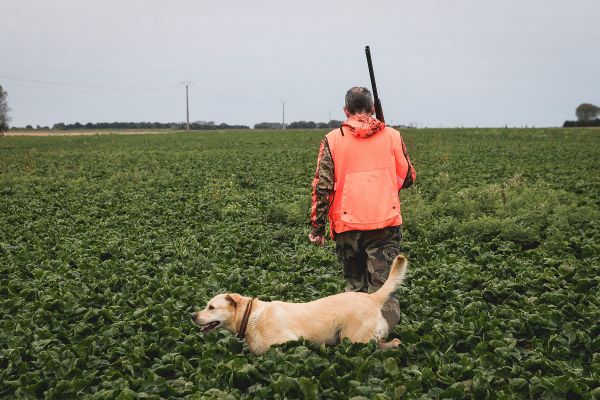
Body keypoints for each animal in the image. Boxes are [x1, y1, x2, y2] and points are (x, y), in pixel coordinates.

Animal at [192, 256, 408, 354]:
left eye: (211, 307)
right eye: (206, 305)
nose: (192, 315)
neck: (250, 316)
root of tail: (373, 298)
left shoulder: (284, 343)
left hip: (353, 341)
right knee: (394, 342)